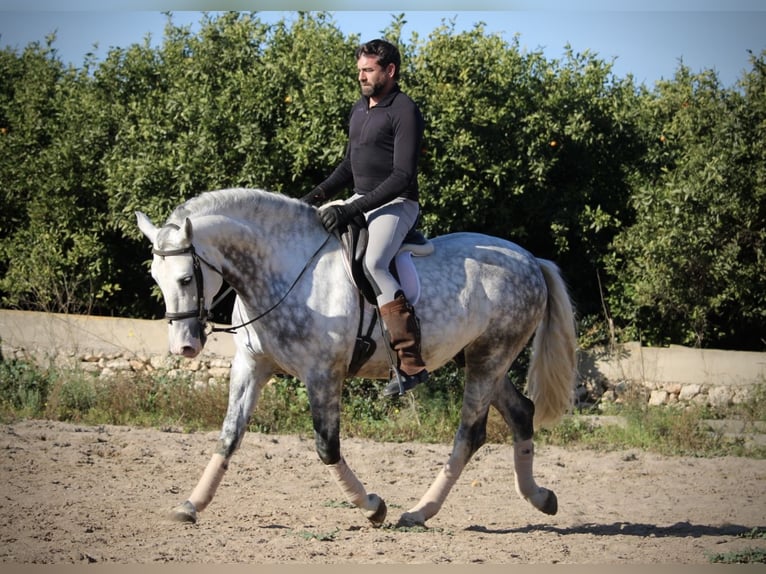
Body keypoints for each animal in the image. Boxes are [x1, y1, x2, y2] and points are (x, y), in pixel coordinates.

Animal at [138, 189, 580, 532]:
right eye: (155, 278)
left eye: (185, 278)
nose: (184, 347)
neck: (285, 271)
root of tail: (530, 260)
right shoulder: (252, 365)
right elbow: (229, 435)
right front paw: (190, 505)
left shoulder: (322, 373)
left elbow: (327, 447)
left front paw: (372, 507)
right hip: (476, 358)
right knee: (521, 412)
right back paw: (540, 498)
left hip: (491, 355)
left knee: (470, 434)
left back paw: (419, 512)